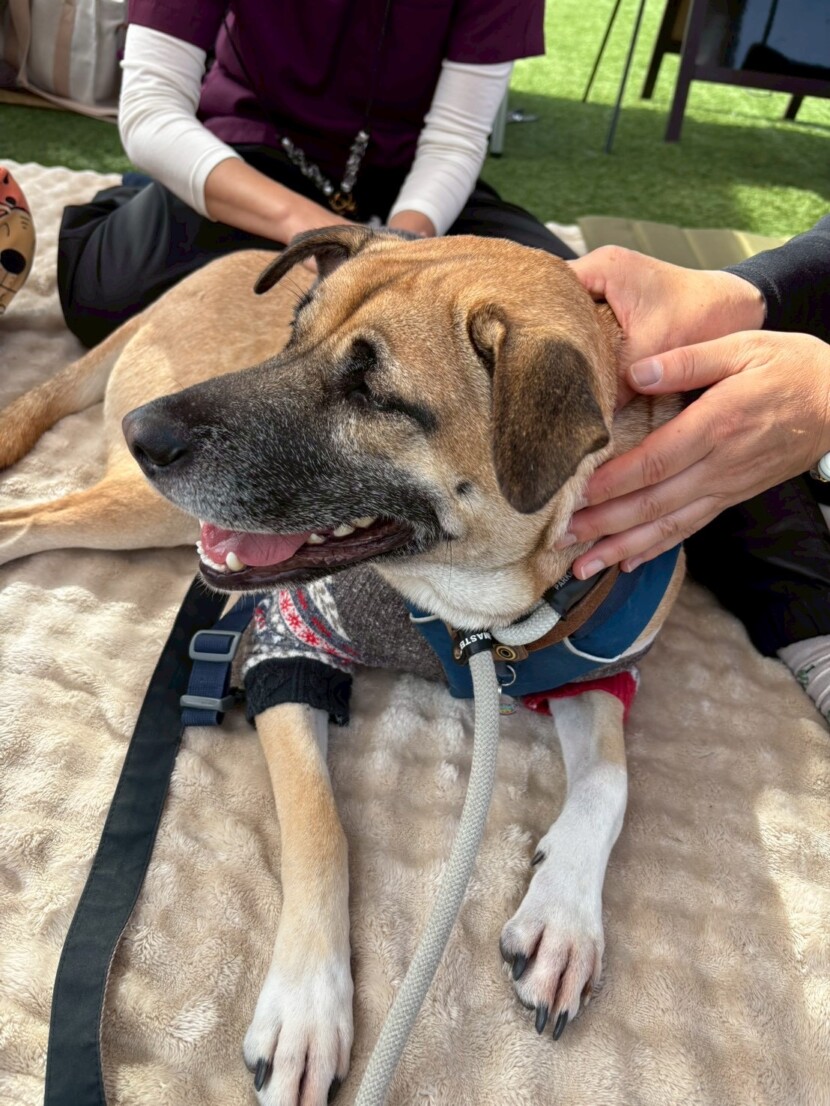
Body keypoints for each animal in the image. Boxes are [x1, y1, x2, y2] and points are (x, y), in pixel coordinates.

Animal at [0, 226, 684, 1106]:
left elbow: (609, 781)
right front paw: (306, 1009)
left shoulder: (593, 669)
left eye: (375, 394)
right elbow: (322, 828)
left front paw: (565, 918)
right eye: (292, 335)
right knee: (18, 521)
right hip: (147, 510)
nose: (141, 432)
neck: (477, 618)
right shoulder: (290, 643)